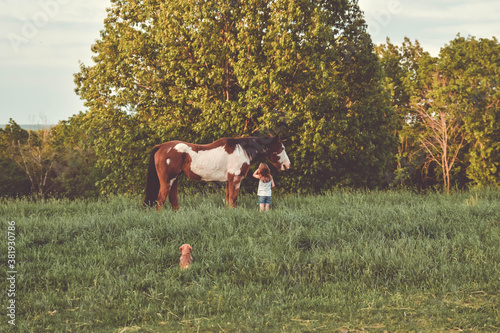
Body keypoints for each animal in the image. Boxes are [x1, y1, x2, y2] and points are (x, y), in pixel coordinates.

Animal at [143, 136, 292, 210]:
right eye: (282, 147)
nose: (287, 165)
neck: (241, 151)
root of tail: (161, 147)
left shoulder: (228, 181)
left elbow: (228, 200)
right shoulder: (235, 180)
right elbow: (233, 200)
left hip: (174, 180)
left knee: (173, 200)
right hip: (167, 180)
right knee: (161, 199)